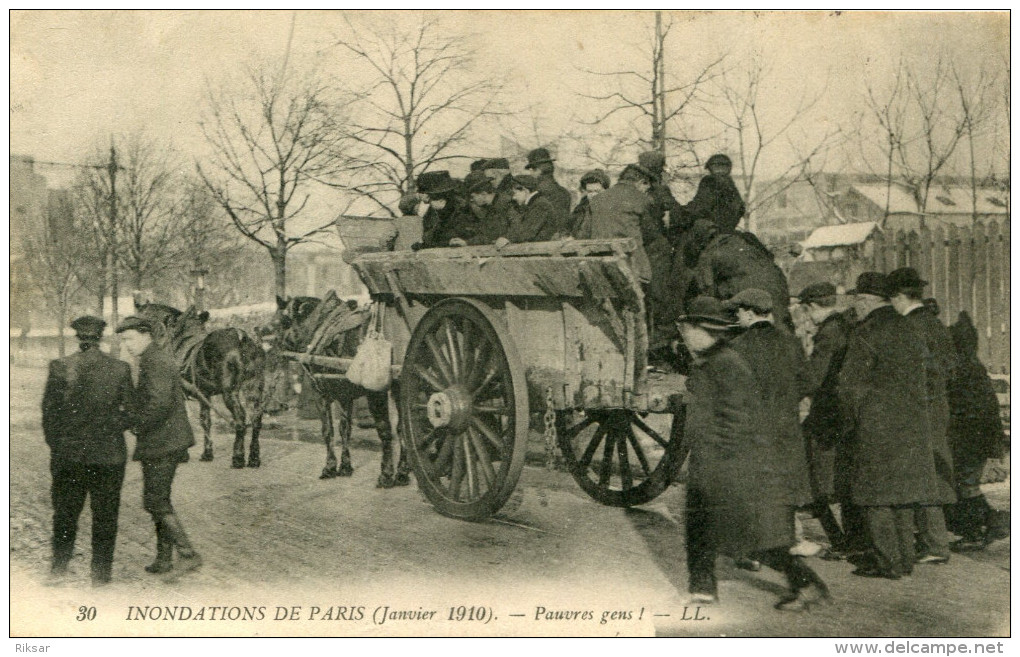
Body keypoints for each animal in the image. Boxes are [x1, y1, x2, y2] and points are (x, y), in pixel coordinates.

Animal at [135, 301, 267, 467]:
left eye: (143, 313)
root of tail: (241, 338)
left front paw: (182, 454)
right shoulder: (205, 395)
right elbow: (206, 422)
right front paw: (207, 453)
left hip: (230, 392)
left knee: (241, 419)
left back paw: (237, 457)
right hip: (253, 388)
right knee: (256, 420)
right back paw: (254, 458)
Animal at [273, 293, 412, 487]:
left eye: (283, 322)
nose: (275, 348)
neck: (319, 325)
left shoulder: (320, 394)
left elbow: (328, 431)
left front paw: (329, 467)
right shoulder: (345, 396)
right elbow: (345, 429)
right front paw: (345, 466)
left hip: (377, 393)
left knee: (385, 430)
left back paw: (386, 474)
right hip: (399, 390)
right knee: (402, 428)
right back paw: (402, 472)